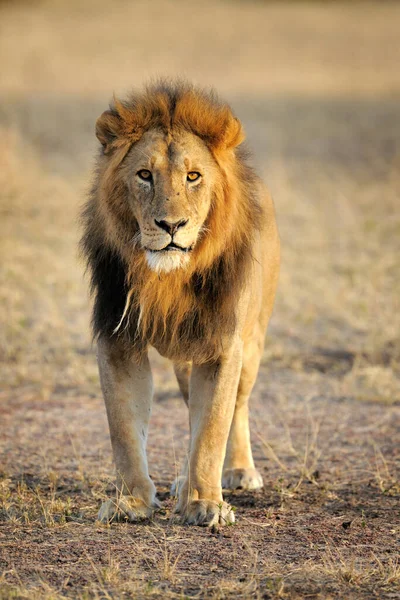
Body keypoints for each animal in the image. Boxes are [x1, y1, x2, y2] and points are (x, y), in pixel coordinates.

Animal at [80, 79, 282, 524]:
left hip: (252, 342)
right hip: (186, 360)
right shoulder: (118, 338)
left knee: (237, 407)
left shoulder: (223, 344)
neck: (166, 279)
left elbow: (212, 429)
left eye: (193, 176)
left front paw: (206, 503)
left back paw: (237, 471)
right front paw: (132, 501)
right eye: (144, 175)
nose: (171, 225)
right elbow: (124, 428)